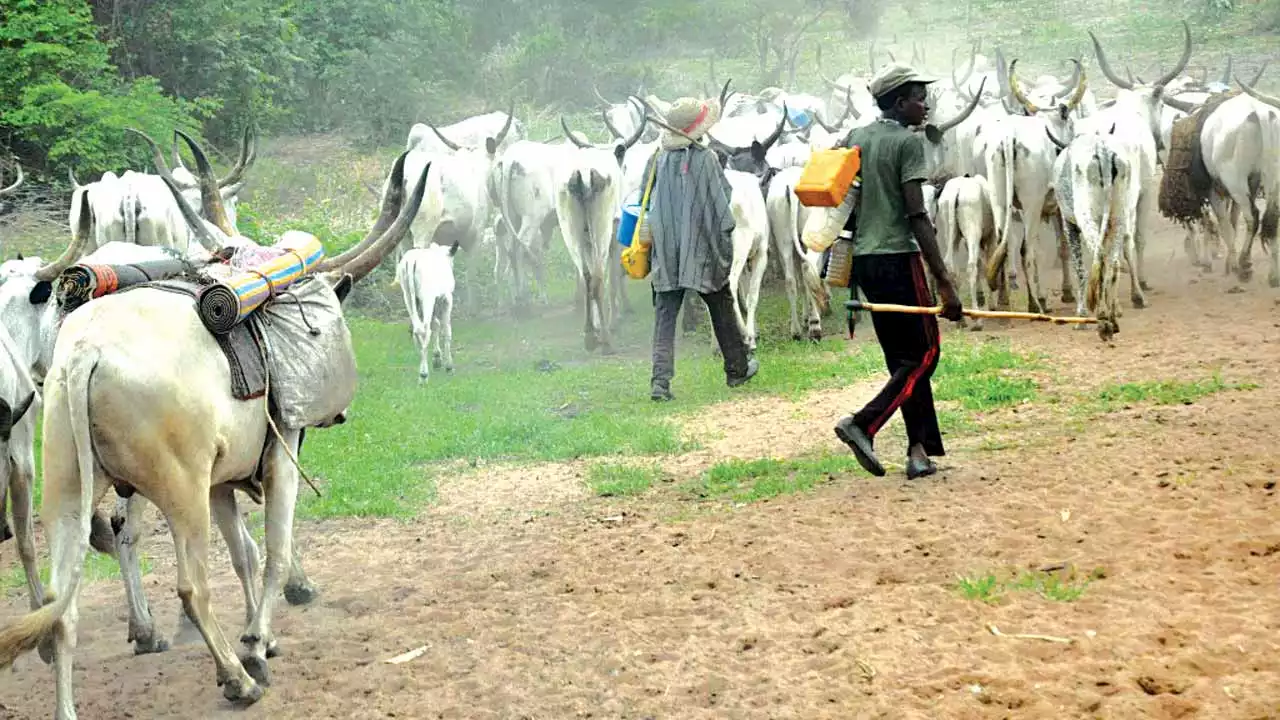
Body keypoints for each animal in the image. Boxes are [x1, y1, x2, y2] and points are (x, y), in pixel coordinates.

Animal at [399, 243, 465, 381]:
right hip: (427, 297)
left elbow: (436, 325)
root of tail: (412, 260)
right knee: (425, 330)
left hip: (408, 296)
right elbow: (446, 330)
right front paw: (449, 366)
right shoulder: (447, 299)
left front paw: (437, 358)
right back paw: (423, 374)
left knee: (418, 329)